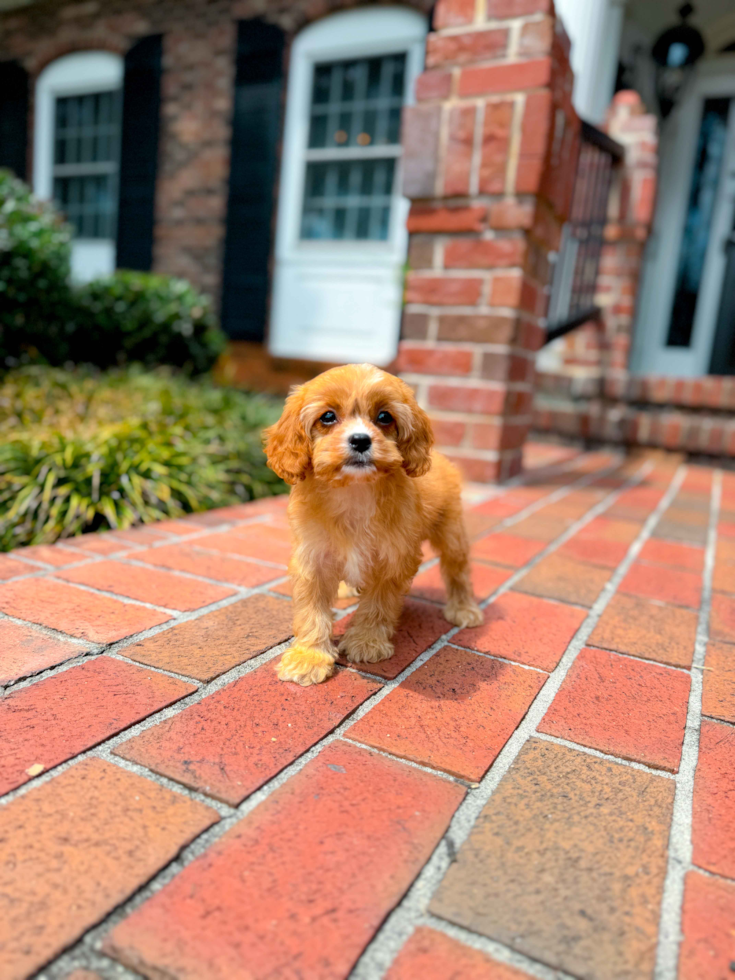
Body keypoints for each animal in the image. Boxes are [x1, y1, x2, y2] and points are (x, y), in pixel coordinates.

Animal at [264, 362, 484, 688]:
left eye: (384, 417)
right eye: (327, 417)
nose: (360, 440)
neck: (355, 491)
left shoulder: (392, 559)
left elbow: (378, 604)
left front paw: (366, 641)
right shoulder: (312, 558)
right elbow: (311, 610)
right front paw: (309, 656)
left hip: (452, 533)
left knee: (458, 571)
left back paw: (464, 608)